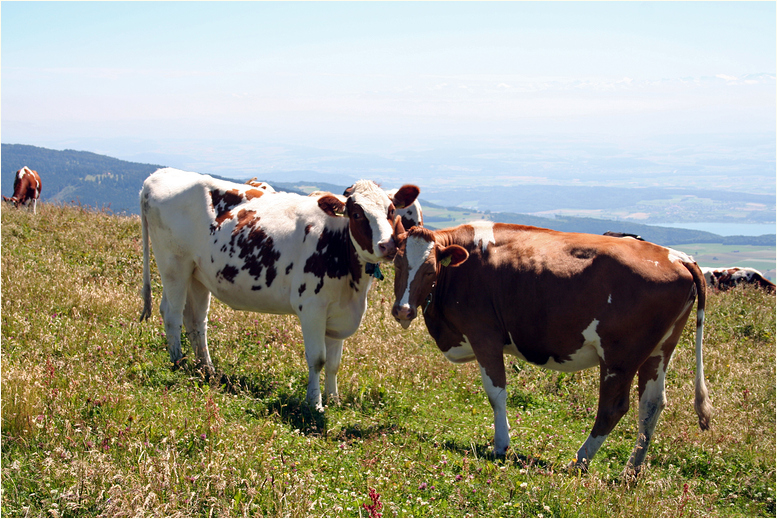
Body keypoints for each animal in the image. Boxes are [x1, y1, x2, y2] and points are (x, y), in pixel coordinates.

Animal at [139, 169, 418, 412]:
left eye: (391, 210)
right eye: (358, 214)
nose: (388, 245)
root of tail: (161, 173)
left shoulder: (340, 312)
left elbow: (334, 363)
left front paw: (334, 399)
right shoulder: (312, 308)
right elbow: (318, 359)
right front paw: (314, 403)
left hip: (197, 274)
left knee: (196, 320)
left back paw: (206, 369)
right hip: (174, 264)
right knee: (172, 314)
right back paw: (177, 362)